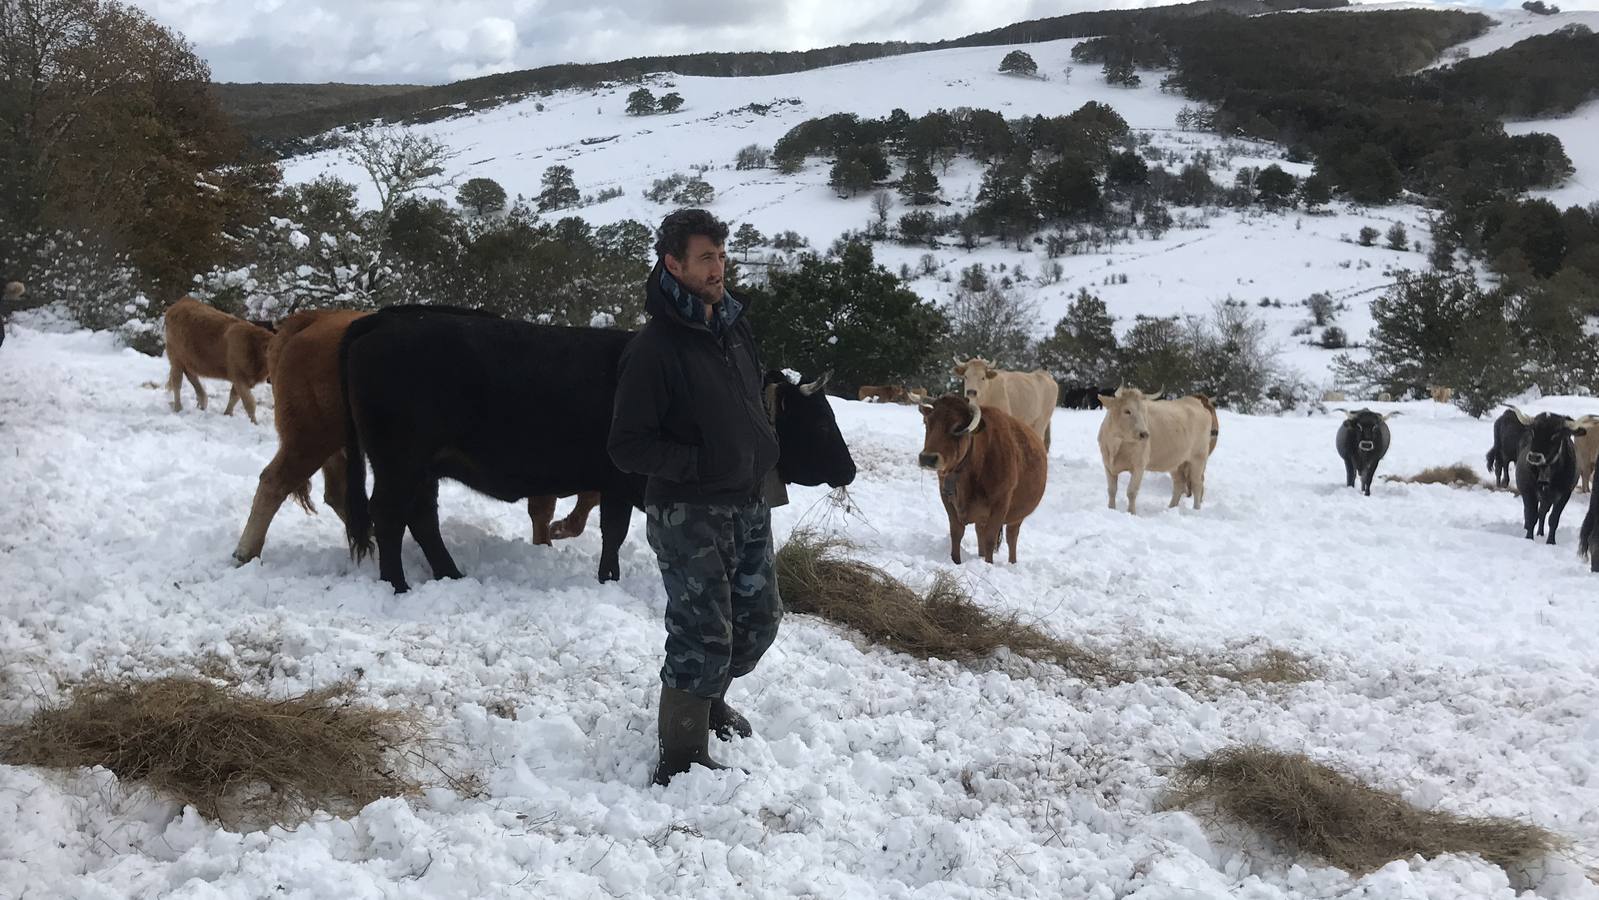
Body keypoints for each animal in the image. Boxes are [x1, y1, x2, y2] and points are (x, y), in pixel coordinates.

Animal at [340, 306, 863, 594]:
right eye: (821, 421)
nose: (850, 469)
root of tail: (380, 321)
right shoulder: (620, 481)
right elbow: (613, 532)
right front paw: (608, 578)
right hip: (399, 461)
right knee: (389, 516)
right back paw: (397, 585)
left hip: (422, 467)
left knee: (422, 519)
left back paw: (450, 575)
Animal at [914, 396, 1048, 562]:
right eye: (926, 422)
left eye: (958, 427)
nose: (927, 458)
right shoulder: (947, 498)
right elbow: (956, 533)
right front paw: (955, 561)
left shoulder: (1000, 504)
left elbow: (990, 539)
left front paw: (988, 564)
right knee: (980, 533)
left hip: (1017, 517)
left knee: (1011, 537)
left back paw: (1012, 563)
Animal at [1509, 412, 1586, 546]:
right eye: (1533, 431)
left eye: (1555, 434)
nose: (1534, 457)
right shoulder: (1528, 492)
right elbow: (1531, 516)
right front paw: (1529, 538)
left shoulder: (1564, 495)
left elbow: (1553, 519)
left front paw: (1551, 541)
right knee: (1534, 513)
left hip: (1548, 500)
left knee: (1542, 513)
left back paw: (1540, 533)